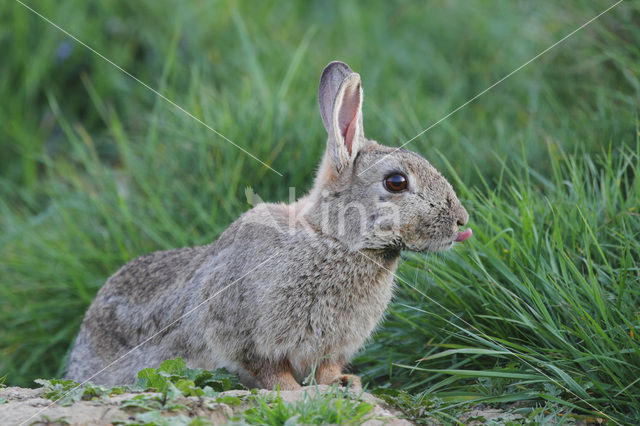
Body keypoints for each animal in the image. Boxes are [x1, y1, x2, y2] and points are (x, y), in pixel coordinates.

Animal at [67, 61, 472, 392]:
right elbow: (268, 370)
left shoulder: (332, 345)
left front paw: (343, 384)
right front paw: (297, 393)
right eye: (396, 182)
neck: (333, 238)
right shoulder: (243, 333)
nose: (462, 221)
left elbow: (326, 368)